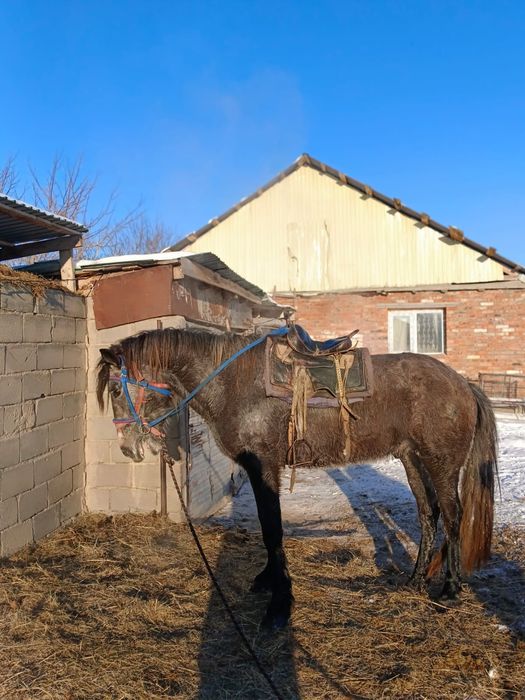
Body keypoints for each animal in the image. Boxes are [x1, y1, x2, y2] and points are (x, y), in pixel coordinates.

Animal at [96, 326, 497, 630]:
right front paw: (266, 580)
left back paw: (450, 589)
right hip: (412, 460)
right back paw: (414, 580)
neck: (233, 383)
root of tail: (463, 384)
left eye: (116, 389)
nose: (127, 447)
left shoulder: (264, 467)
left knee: (453, 516)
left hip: (442, 464)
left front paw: (279, 602)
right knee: (428, 515)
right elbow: (266, 526)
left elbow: (272, 529)